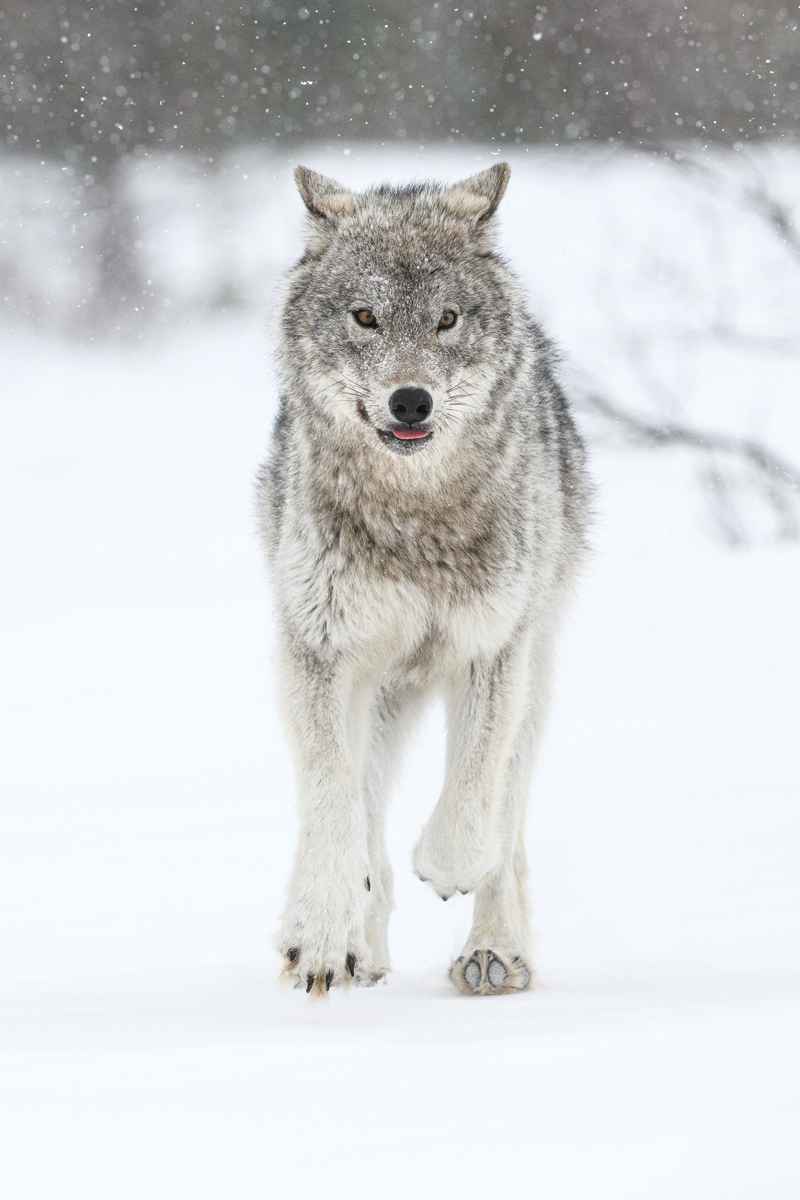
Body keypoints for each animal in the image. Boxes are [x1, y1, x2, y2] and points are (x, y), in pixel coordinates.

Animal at [257, 161, 590, 997]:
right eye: (366, 317)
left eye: (445, 320)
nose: (411, 400)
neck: (415, 521)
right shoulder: (317, 651)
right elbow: (332, 798)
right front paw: (319, 933)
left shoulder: (495, 648)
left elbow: (475, 799)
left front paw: (446, 869)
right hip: (377, 691)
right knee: (364, 809)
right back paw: (357, 949)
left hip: (535, 675)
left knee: (508, 815)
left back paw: (495, 953)